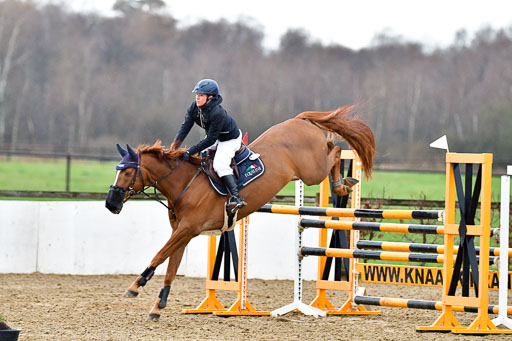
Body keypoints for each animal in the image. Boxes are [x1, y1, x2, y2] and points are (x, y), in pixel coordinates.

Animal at [105, 105, 376, 320]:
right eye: (118, 170)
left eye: (127, 172)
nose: (111, 204)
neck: (184, 184)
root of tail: (298, 120)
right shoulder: (182, 233)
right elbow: (171, 266)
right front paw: (157, 306)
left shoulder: (187, 229)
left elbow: (159, 256)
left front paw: (135, 285)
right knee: (332, 145)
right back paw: (343, 182)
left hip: (312, 171)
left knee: (336, 150)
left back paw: (343, 183)